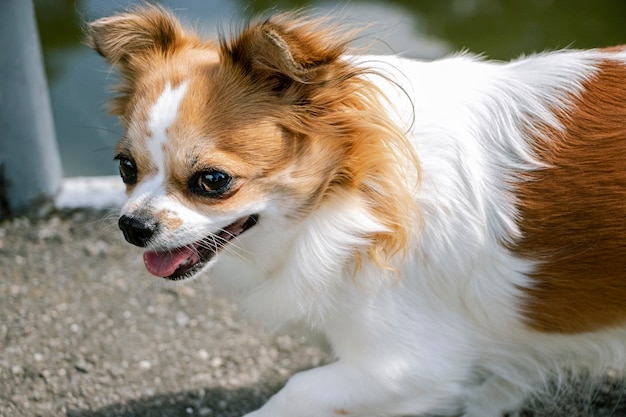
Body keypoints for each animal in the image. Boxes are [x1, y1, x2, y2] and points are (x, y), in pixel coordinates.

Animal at [86, 6, 624, 416]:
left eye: (213, 182)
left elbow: (295, 391)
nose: (132, 226)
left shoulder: (408, 365)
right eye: (126, 168)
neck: (350, 191)